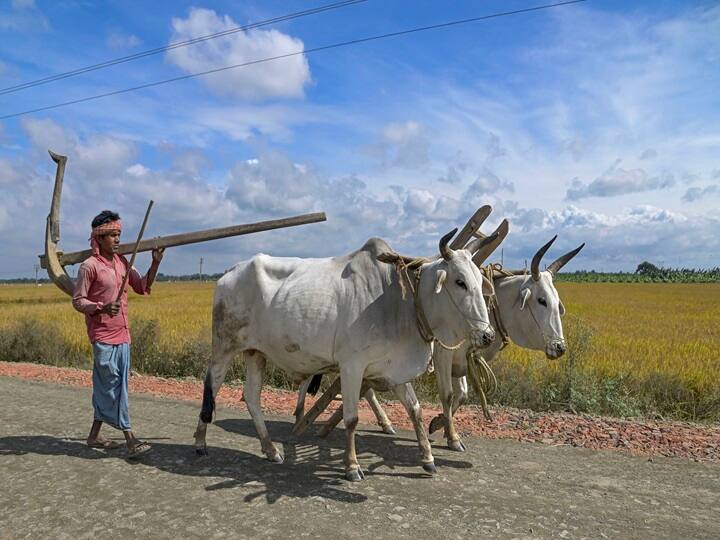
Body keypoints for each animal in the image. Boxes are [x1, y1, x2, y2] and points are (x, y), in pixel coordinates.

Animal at [194, 228, 498, 480]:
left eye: (478, 281)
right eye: (459, 281)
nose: (487, 335)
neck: (402, 302)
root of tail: (230, 271)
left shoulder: (394, 368)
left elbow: (416, 410)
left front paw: (428, 458)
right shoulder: (352, 365)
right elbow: (351, 418)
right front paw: (352, 466)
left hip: (255, 352)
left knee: (252, 397)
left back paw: (270, 450)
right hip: (224, 347)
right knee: (212, 386)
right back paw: (200, 441)